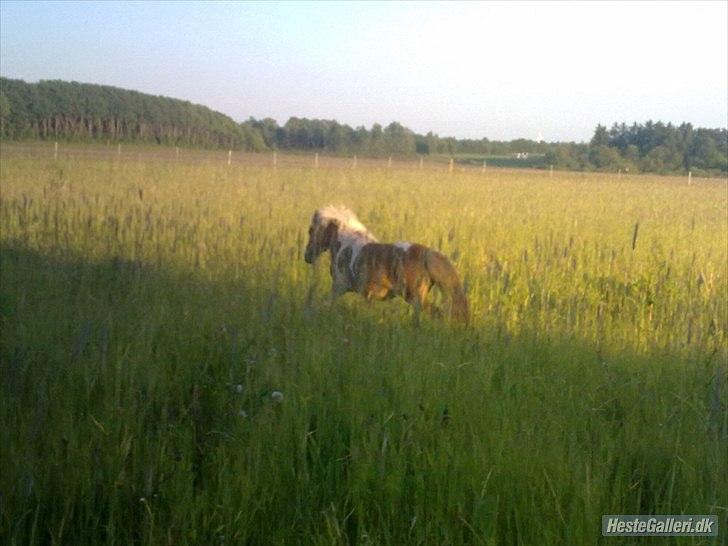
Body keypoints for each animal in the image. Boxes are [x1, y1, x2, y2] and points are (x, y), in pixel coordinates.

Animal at [302, 206, 470, 320]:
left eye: (311, 230)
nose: (307, 256)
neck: (345, 246)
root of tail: (426, 253)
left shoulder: (339, 287)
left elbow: (325, 304)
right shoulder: (365, 294)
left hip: (414, 297)